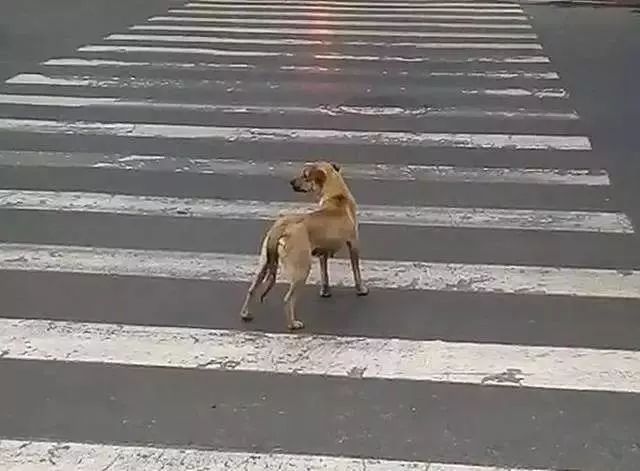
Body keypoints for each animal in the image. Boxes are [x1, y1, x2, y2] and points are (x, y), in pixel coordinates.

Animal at [239, 162, 370, 332]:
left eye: (305, 175)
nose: (291, 182)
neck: (336, 194)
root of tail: (282, 227)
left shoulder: (322, 253)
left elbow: (325, 274)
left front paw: (325, 291)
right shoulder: (353, 244)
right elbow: (356, 271)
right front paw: (361, 289)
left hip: (264, 263)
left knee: (252, 289)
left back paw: (245, 313)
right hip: (302, 269)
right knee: (288, 299)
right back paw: (293, 323)